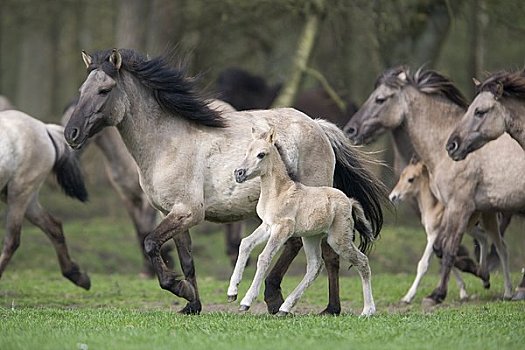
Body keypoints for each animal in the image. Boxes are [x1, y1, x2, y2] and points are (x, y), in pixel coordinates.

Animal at [0, 110, 89, 288]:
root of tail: (44, 128)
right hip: (23, 197)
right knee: (53, 226)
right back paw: (77, 276)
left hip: (19, 192)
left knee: (12, 240)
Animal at [227, 127, 374, 316]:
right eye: (246, 152)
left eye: (261, 154)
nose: (239, 173)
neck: (278, 192)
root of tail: (349, 201)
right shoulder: (267, 226)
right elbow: (245, 243)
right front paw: (232, 292)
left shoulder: (282, 228)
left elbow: (264, 257)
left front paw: (246, 301)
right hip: (311, 237)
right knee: (314, 267)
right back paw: (285, 307)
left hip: (339, 240)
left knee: (362, 262)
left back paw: (368, 310)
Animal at [388, 157, 492, 302]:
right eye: (401, 176)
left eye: (411, 179)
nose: (393, 197)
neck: (433, 206)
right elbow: (445, 258)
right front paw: (463, 292)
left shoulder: (433, 236)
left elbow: (424, 264)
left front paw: (408, 297)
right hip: (470, 227)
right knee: (483, 238)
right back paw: (484, 276)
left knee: (502, 247)